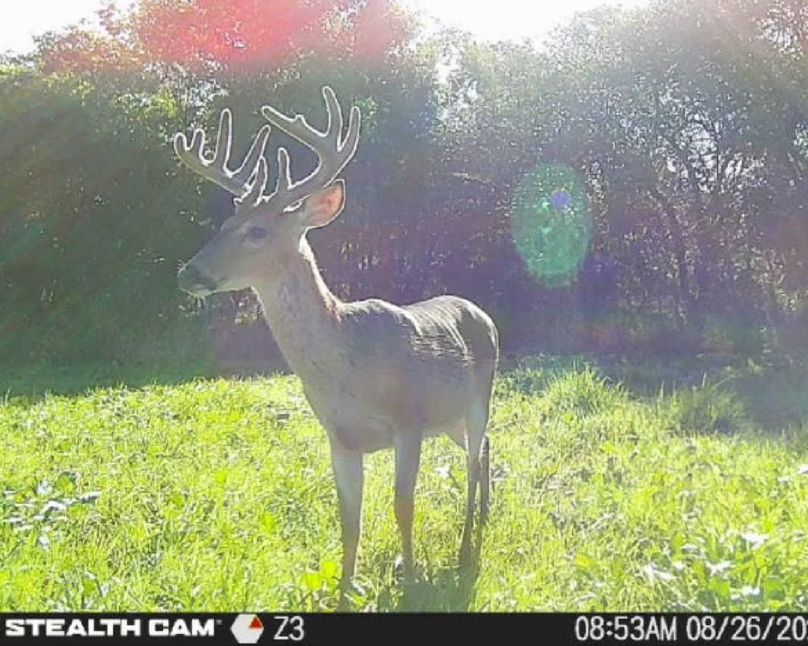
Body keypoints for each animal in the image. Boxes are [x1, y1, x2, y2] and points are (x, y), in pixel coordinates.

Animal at [173, 87, 499, 605]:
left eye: (257, 231)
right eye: (224, 224)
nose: (189, 273)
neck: (346, 367)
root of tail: (481, 310)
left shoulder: (408, 421)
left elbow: (402, 505)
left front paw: (410, 578)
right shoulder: (339, 436)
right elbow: (349, 519)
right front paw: (345, 591)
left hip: (477, 397)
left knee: (471, 460)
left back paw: (467, 548)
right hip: (449, 417)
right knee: (484, 447)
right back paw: (483, 517)